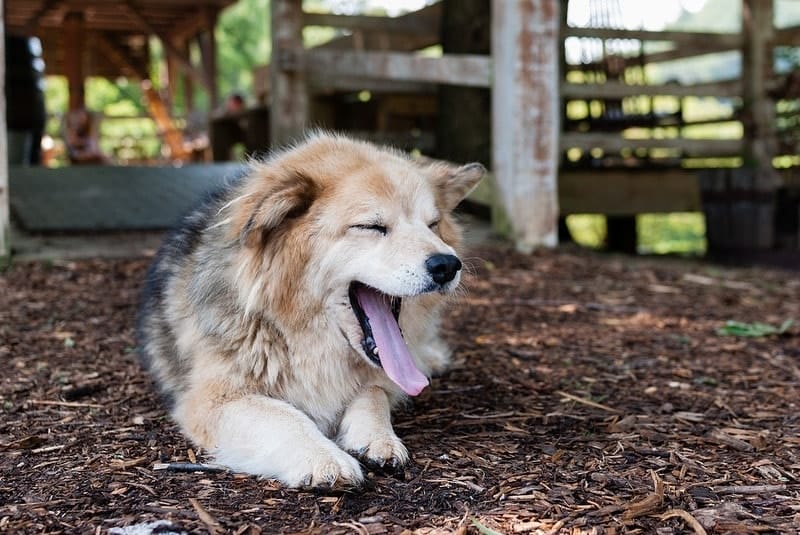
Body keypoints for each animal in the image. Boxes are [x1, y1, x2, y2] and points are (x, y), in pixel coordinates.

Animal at [138, 132, 484, 488]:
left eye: (433, 225)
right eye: (371, 226)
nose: (447, 265)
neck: (289, 333)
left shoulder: (380, 381)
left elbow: (373, 394)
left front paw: (378, 437)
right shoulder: (212, 400)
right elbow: (283, 416)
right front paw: (324, 456)